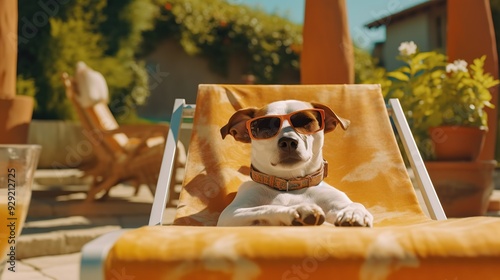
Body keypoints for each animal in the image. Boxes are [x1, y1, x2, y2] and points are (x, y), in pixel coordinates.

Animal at [217, 100, 374, 228]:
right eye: (264, 127)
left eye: (306, 121)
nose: (288, 141)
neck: (289, 185)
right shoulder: (232, 213)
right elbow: (264, 208)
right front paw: (296, 209)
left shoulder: (335, 201)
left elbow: (356, 204)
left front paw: (354, 213)